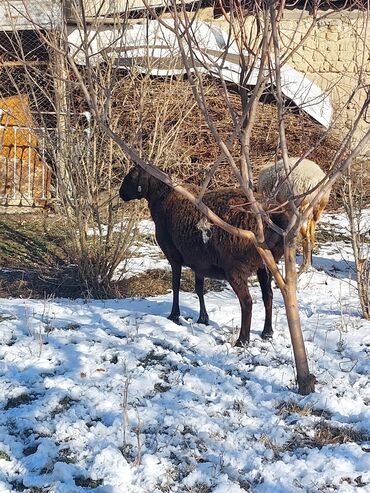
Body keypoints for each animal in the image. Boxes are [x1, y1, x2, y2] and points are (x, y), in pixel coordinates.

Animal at [120, 166, 288, 346]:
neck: (162, 197)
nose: (121, 193)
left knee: (247, 302)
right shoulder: (199, 262)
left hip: (236, 269)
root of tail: (274, 218)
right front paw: (203, 318)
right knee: (268, 296)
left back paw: (242, 340)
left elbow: (175, 285)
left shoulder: (174, 256)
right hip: (265, 265)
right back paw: (267, 332)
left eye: (132, 175)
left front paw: (174, 316)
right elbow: (199, 289)